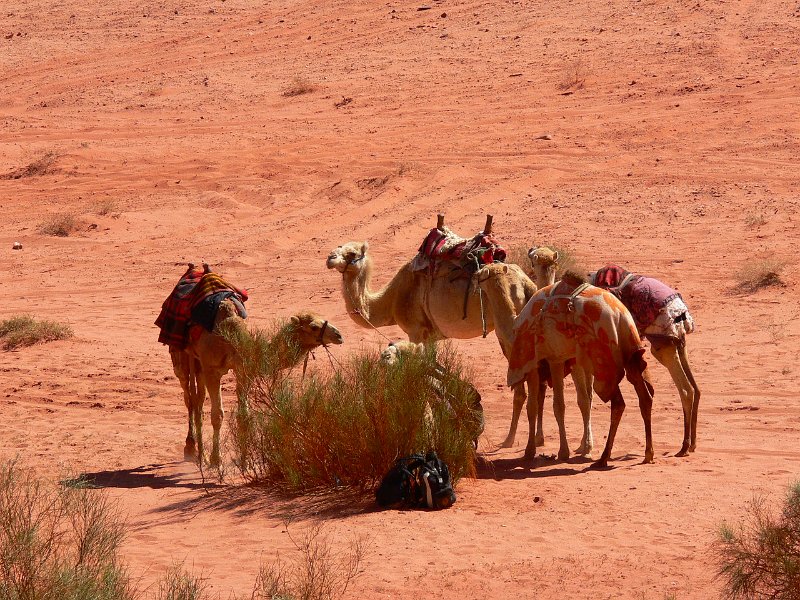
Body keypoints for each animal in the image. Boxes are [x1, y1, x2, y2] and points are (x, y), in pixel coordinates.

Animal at [171, 302, 340, 466]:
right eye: (314, 327)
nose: (339, 335)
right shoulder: (212, 370)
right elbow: (217, 415)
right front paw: (216, 460)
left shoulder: (243, 369)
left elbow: (244, 416)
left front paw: (244, 461)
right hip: (180, 356)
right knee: (188, 396)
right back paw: (191, 448)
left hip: (197, 362)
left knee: (198, 400)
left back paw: (200, 454)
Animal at [500, 270, 656, 466]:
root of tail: (621, 315)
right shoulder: (559, 359)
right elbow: (558, 403)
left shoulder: (541, 361)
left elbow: (543, 406)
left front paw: (544, 452)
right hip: (631, 351)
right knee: (645, 397)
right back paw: (648, 454)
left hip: (603, 359)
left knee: (618, 402)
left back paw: (603, 458)